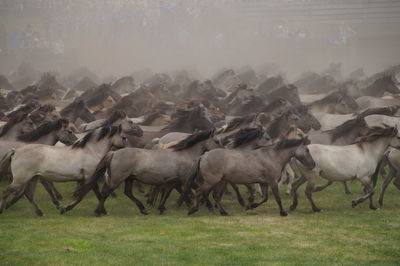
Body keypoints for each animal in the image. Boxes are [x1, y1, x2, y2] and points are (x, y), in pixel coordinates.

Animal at [179, 135, 316, 216]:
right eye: (307, 150)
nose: (313, 164)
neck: (272, 156)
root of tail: (203, 156)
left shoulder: (264, 183)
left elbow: (265, 198)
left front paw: (250, 206)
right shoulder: (272, 182)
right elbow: (277, 198)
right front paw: (283, 212)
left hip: (220, 181)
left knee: (215, 196)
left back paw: (223, 212)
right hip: (212, 181)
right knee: (199, 192)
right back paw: (193, 210)